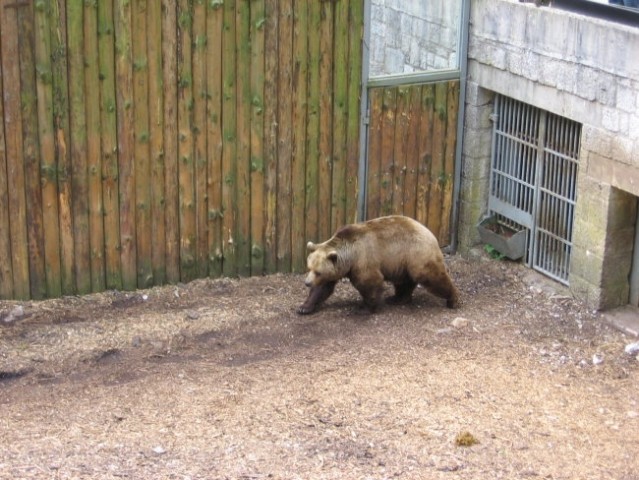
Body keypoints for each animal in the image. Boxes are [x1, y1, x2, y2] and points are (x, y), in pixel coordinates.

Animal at [298, 215, 462, 316]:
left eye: (318, 272)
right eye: (310, 268)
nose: (307, 282)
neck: (349, 254)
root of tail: (430, 232)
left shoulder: (363, 260)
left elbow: (369, 282)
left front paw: (365, 307)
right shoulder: (335, 268)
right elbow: (322, 288)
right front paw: (304, 307)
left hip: (417, 253)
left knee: (431, 277)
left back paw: (453, 300)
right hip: (402, 262)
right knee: (404, 281)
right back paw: (398, 298)